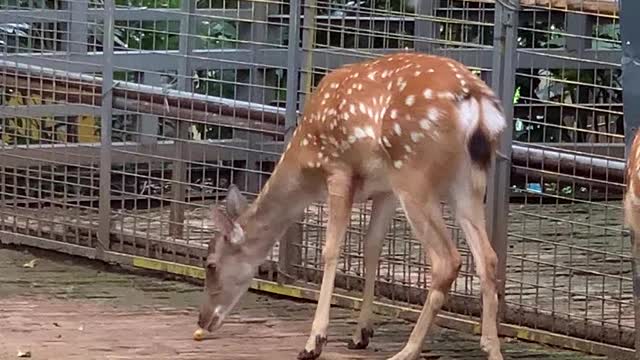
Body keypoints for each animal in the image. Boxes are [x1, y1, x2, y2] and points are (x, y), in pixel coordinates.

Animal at [198, 51, 508, 360]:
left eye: (211, 264)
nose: (202, 321)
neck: (306, 159)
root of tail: (476, 102)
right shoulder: (385, 189)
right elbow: (371, 247)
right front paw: (361, 334)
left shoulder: (338, 169)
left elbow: (330, 251)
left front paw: (314, 342)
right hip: (466, 180)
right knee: (488, 257)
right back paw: (491, 347)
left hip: (413, 171)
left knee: (447, 260)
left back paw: (407, 350)